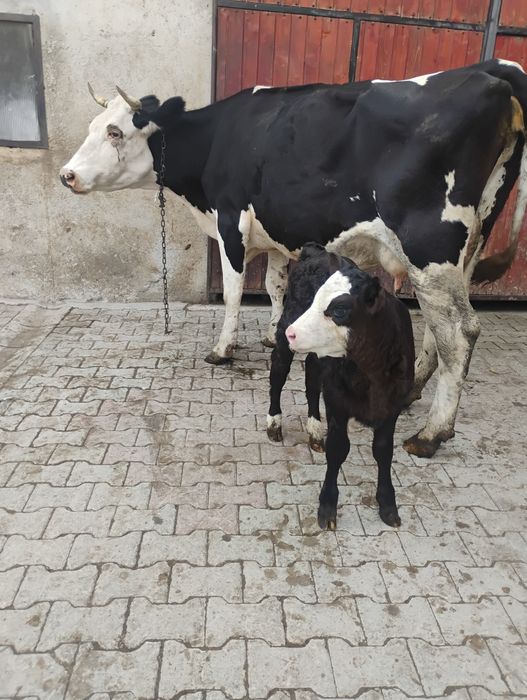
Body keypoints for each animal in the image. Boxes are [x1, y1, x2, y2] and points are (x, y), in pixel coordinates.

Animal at [60, 59, 527, 457]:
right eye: (94, 126)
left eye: (115, 132)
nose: (67, 174)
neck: (218, 139)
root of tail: (490, 71)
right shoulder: (276, 237)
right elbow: (274, 287)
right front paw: (273, 334)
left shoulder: (231, 222)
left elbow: (233, 291)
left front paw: (223, 349)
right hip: (462, 249)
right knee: (440, 330)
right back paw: (413, 393)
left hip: (429, 245)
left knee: (460, 332)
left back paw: (432, 433)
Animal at [280, 244, 414, 530]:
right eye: (315, 301)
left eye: (339, 311)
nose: (293, 333)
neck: (370, 373)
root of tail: (317, 250)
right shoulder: (336, 401)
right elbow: (338, 448)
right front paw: (327, 506)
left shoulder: (393, 407)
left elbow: (383, 451)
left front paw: (388, 504)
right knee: (278, 372)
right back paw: (273, 423)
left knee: (311, 378)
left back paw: (314, 429)